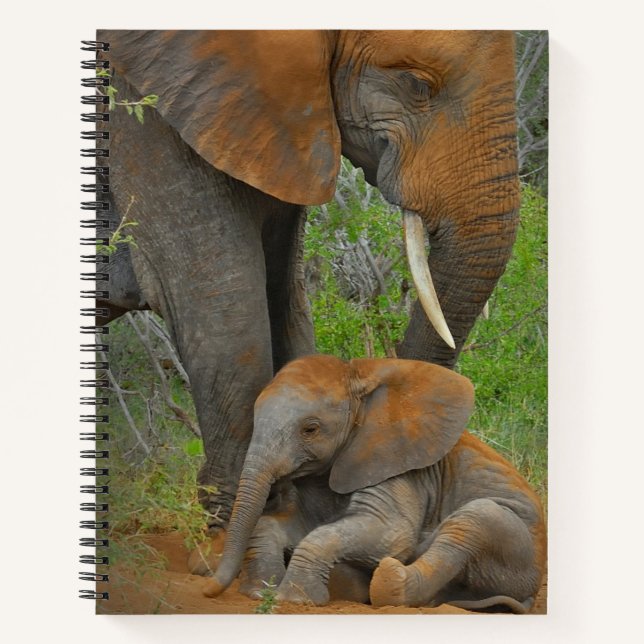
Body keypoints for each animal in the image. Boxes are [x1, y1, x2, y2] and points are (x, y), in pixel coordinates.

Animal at [202, 355, 546, 613]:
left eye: (310, 429)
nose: (208, 590)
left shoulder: (398, 468)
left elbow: (390, 533)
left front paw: (295, 599)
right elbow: (286, 524)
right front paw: (260, 592)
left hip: (517, 550)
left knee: (473, 520)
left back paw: (388, 580)